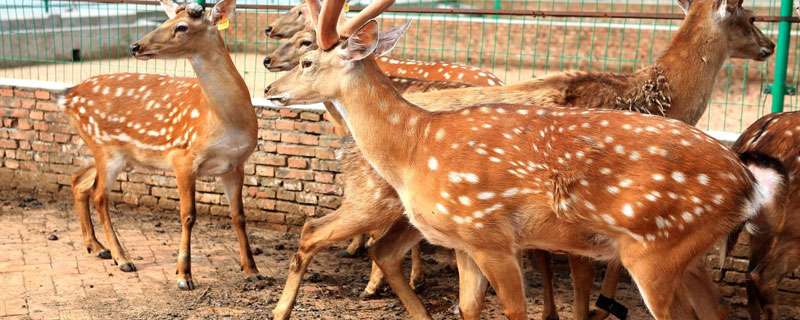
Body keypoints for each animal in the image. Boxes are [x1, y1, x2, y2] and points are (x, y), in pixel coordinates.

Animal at [61, 0, 260, 290]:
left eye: (182, 26)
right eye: (164, 21)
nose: (135, 46)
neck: (226, 121)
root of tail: (67, 96)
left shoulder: (236, 164)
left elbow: (239, 216)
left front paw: (252, 271)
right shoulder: (183, 158)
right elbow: (188, 215)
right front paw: (183, 276)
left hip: (109, 151)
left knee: (79, 181)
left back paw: (97, 247)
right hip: (105, 149)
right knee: (99, 196)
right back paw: (122, 259)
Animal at [268, 0, 776, 318]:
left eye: (308, 60)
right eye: (750, 18)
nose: (271, 87)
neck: (416, 145)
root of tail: (748, 181)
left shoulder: (491, 235)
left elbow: (519, 308)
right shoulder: (465, 241)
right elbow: (470, 307)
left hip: (657, 251)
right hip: (687, 255)